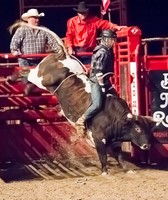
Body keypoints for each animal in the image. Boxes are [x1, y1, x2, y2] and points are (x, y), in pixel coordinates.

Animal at [8, 22, 160, 174]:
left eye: (149, 129)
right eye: (138, 129)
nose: (147, 146)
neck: (114, 117)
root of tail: (64, 55)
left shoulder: (115, 142)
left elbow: (120, 156)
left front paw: (127, 170)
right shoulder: (98, 139)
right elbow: (103, 157)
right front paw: (105, 172)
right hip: (41, 78)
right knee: (26, 72)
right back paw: (11, 78)